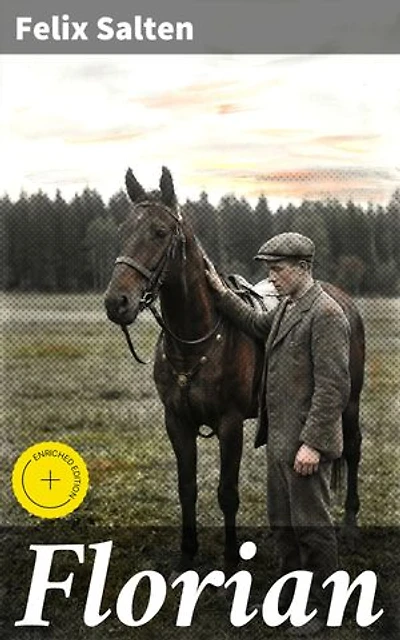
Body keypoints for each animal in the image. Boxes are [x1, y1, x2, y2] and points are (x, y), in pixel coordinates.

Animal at [104, 167, 365, 572]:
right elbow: (187, 488)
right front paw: (187, 555)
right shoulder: (176, 421)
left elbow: (227, 493)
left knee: (352, 449)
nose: (117, 302)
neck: (194, 341)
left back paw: (350, 524)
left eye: (160, 232)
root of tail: (341, 300)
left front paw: (229, 562)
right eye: (122, 230)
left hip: (349, 402)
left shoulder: (229, 423)